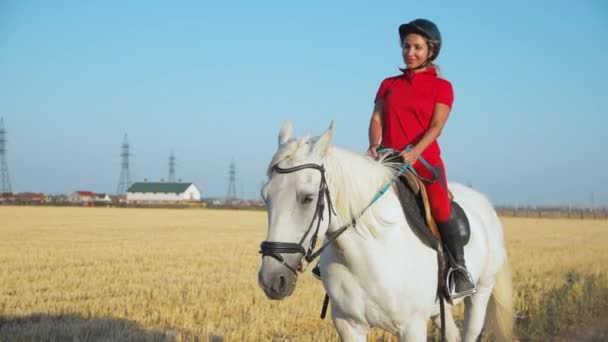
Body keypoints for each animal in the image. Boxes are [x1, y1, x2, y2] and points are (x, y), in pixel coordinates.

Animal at [256, 121, 512, 340]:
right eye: (265, 196)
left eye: (307, 198)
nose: (272, 280)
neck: (369, 252)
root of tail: (486, 203)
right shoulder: (349, 325)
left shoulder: (412, 327)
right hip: (439, 309)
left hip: (480, 294)